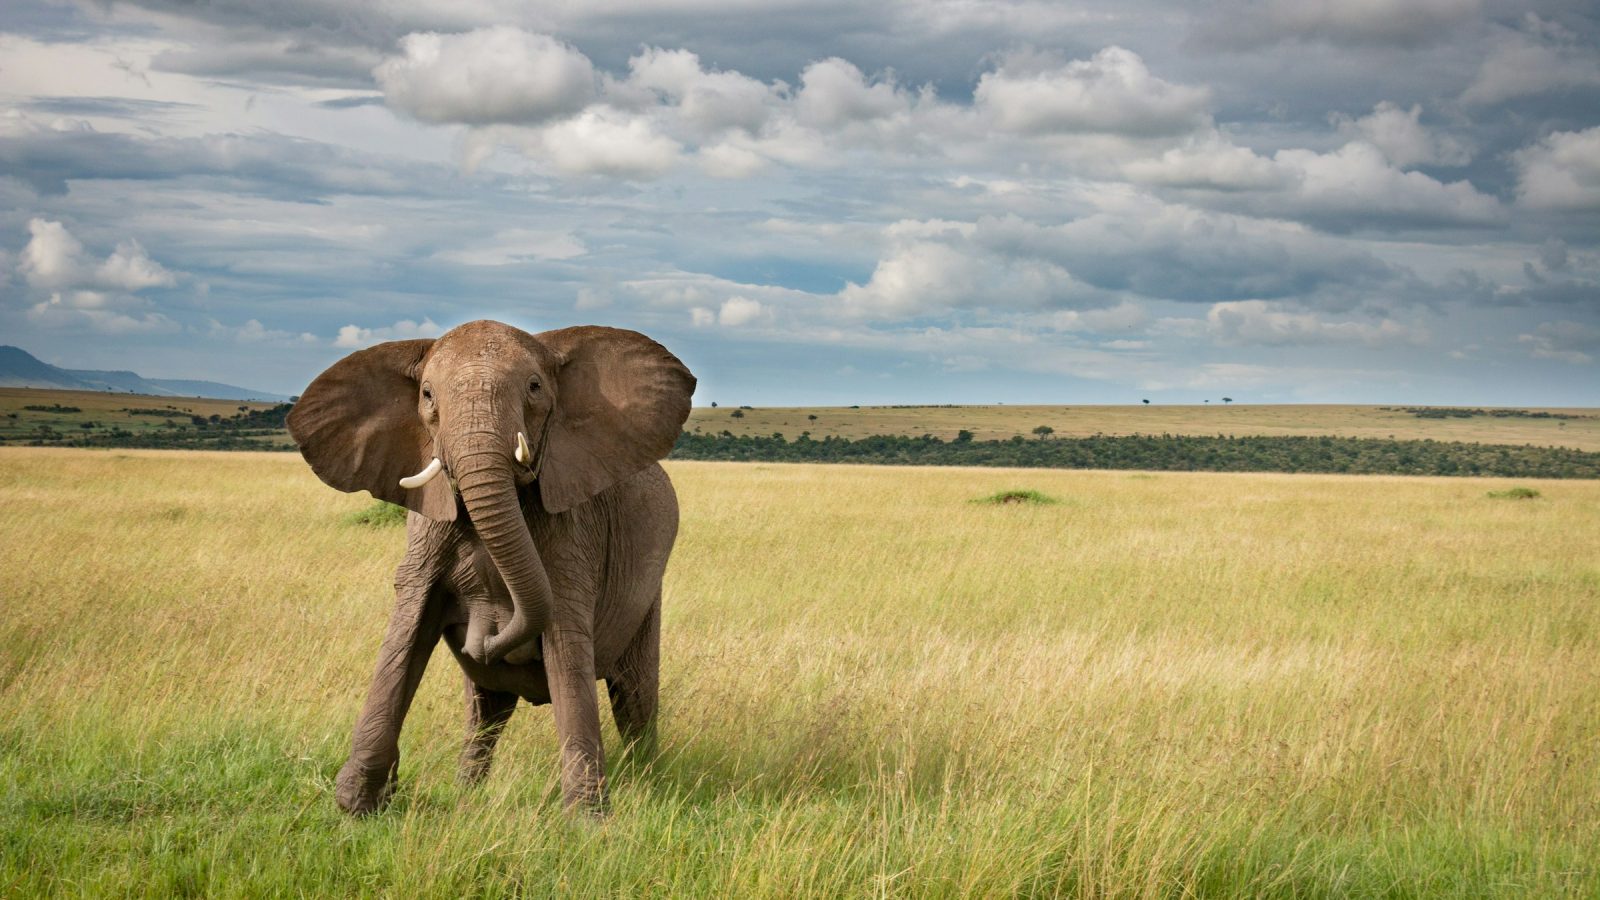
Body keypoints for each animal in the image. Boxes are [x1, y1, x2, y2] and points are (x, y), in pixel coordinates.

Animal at [286, 319, 695, 815]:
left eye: (535, 387)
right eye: (427, 395)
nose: (484, 634)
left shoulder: (573, 532)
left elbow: (566, 645)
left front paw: (588, 822)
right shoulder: (427, 528)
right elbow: (407, 630)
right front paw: (356, 806)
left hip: (649, 594)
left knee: (634, 698)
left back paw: (649, 785)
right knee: (486, 710)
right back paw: (467, 792)